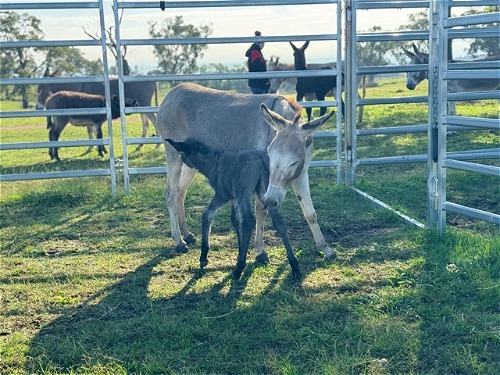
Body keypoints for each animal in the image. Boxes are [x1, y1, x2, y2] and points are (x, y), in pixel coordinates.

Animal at [167, 137, 300, 280]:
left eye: (182, 152)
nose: (183, 160)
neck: (212, 163)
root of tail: (260, 160)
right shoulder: (234, 197)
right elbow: (236, 221)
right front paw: (240, 253)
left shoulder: (222, 194)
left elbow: (207, 215)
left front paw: (204, 258)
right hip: (265, 190)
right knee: (278, 222)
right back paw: (295, 266)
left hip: (243, 191)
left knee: (248, 220)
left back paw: (238, 270)